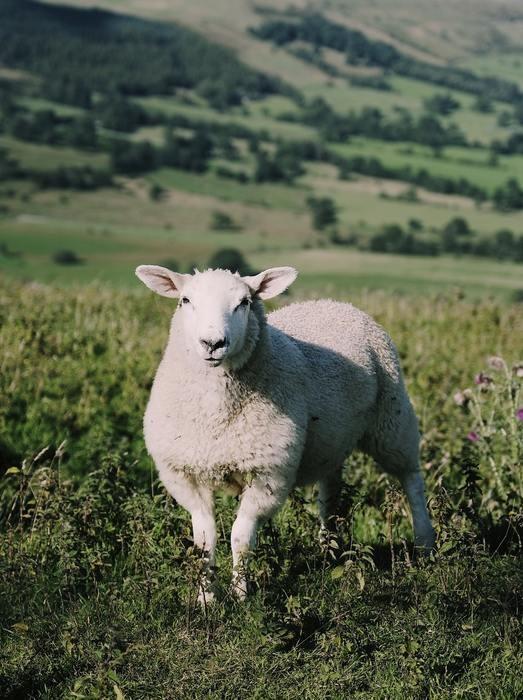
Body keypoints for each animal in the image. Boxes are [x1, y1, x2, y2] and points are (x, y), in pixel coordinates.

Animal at [135, 266, 434, 600]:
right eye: (185, 300)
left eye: (244, 303)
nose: (213, 343)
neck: (216, 415)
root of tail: (333, 303)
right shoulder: (185, 474)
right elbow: (204, 540)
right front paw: (206, 598)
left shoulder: (269, 474)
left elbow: (240, 537)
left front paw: (240, 595)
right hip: (332, 439)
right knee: (331, 487)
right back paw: (328, 549)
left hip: (391, 418)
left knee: (411, 478)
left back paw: (425, 543)